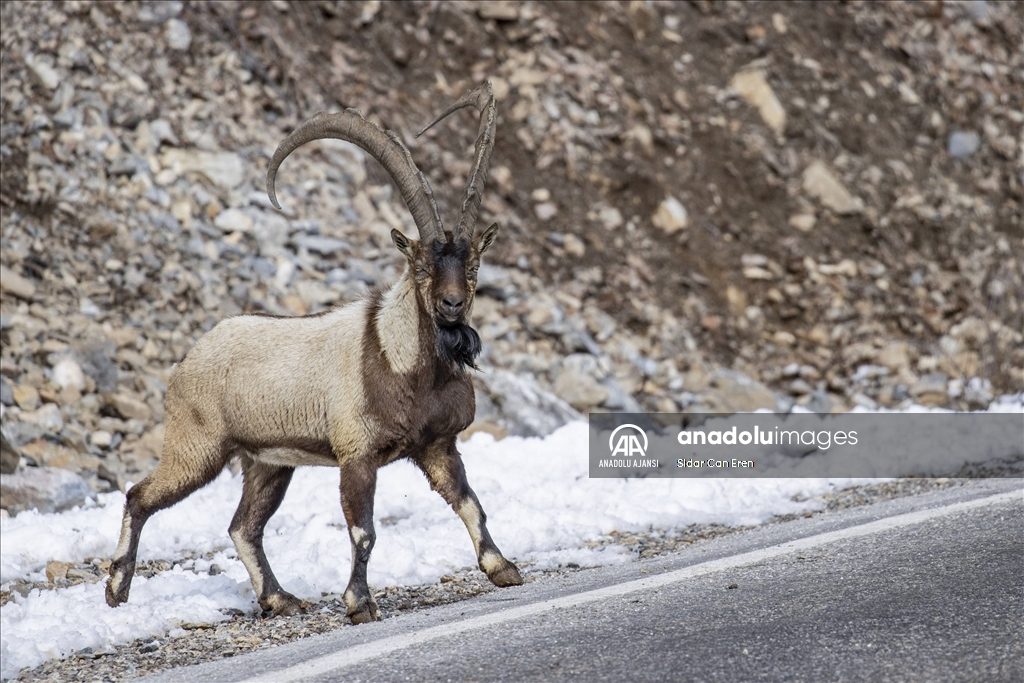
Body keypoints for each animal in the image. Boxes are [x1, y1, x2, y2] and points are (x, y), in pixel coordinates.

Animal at [104, 82, 524, 622]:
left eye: (472, 267)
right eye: (422, 267)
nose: (451, 306)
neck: (405, 364)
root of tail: (187, 362)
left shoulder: (437, 447)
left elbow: (471, 503)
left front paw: (503, 568)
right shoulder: (356, 454)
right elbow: (363, 531)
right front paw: (360, 603)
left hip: (268, 463)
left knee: (243, 526)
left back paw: (279, 598)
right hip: (197, 448)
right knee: (140, 495)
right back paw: (116, 590)